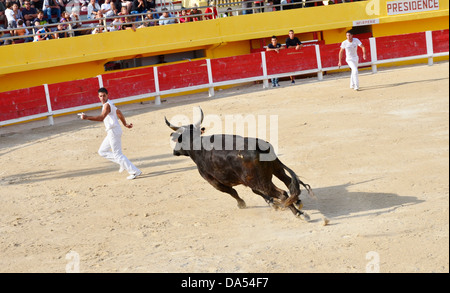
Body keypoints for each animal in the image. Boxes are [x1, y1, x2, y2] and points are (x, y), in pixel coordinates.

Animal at [164, 108, 312, 218]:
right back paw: (297, 202)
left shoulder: (215, 182)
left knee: (282, 193)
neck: (197, 144)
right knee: (288, 182)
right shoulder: (247, 181)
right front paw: (271, 202)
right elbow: (255, 192)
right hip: (275, 170)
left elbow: (233, 192)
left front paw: (242, 204)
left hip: (261, 181)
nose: (174, 152)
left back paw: (298, 213)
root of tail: (258, 145)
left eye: (178, 140)